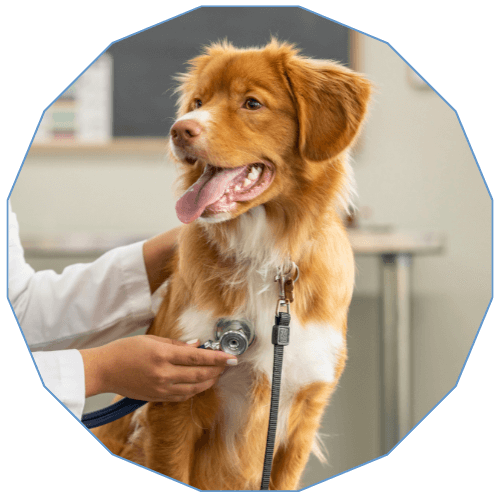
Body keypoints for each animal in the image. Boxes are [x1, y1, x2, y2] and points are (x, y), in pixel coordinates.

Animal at [93, 38, 372, 488]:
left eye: (252, 103)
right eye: (198, 101)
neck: (264, 255)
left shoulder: (302, 415)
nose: (179, 129)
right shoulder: (173, 408)